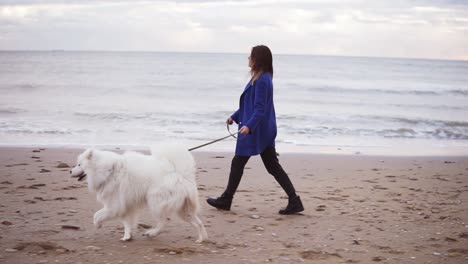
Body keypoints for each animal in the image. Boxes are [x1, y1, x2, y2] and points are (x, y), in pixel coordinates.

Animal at [69, 143, 207, 242]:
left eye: (79, 164)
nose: (70, 171)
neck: (107, 171)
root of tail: (179, 174)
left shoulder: (115, 205)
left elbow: (97, 214)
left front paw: (97, 224)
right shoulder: (126, 206)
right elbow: (127, 222)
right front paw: (127, 236)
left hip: (155, 201)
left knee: (164, 220)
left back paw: (151, 233)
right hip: (183, 209)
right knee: (198, 222)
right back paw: (200, 239)